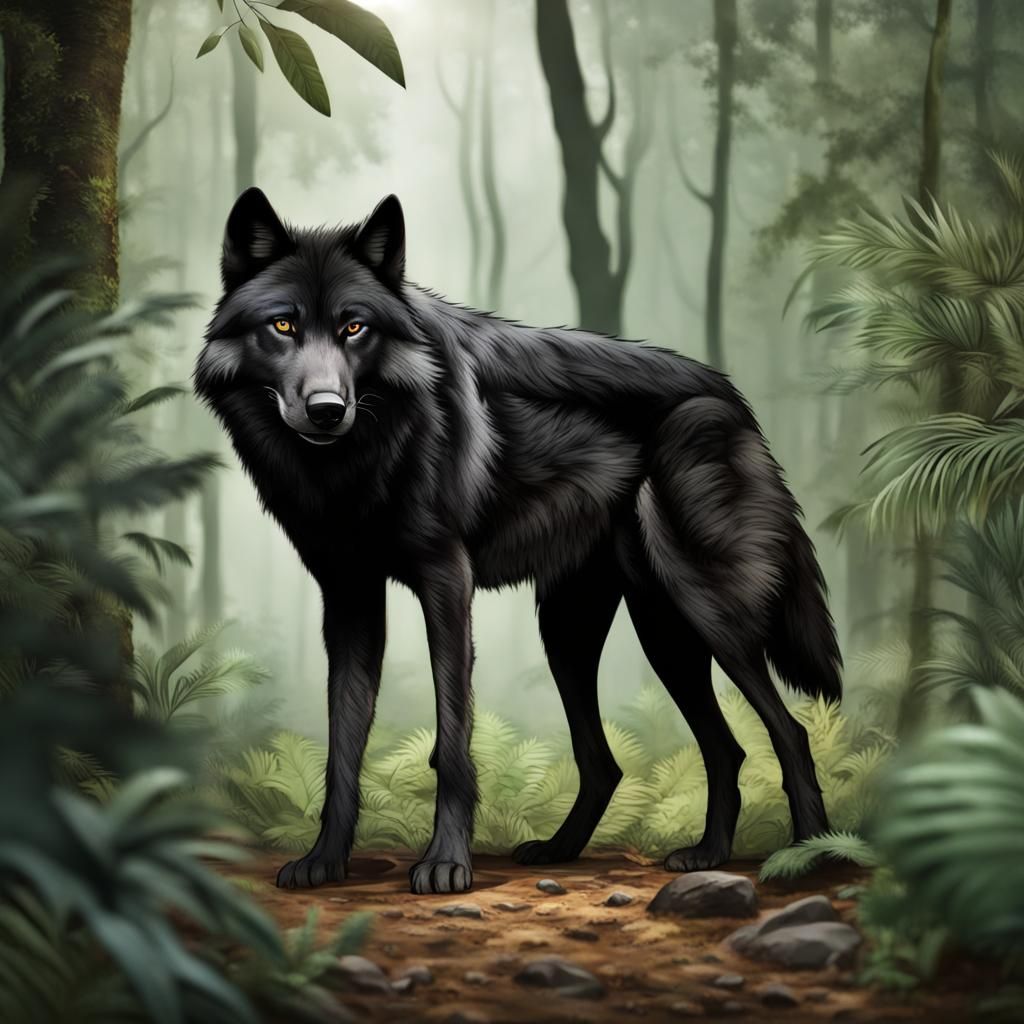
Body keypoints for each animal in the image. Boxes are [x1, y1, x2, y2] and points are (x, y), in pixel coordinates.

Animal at [195, 188, 842, 894]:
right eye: (283, 326)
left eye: (355, 328)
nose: (326, 409)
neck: (358, 459)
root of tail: (733, 397)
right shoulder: (350, 599)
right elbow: (343, 744)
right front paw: (325, 861)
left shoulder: (446, 584)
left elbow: (452, 743)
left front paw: (446, 864)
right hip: (606, 632)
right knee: (673, 753)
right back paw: (666, 854)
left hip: (703, 612)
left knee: (789, 733)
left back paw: (808, 857)